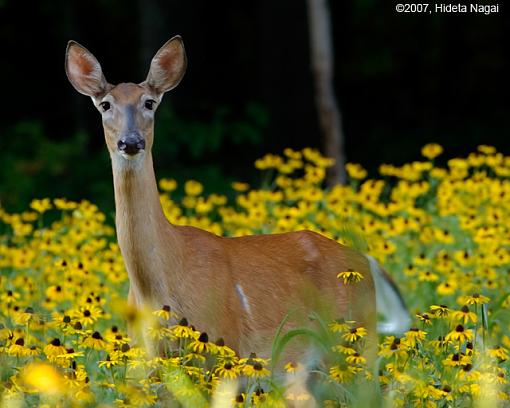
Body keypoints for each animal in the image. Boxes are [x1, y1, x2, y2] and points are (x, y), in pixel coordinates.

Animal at [64, 36, 410, 364]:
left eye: (149, 102)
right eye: (105, 105)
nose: (131, 141)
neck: (159, 285)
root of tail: (367, 262)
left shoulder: (224, 340)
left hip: (359, 342)